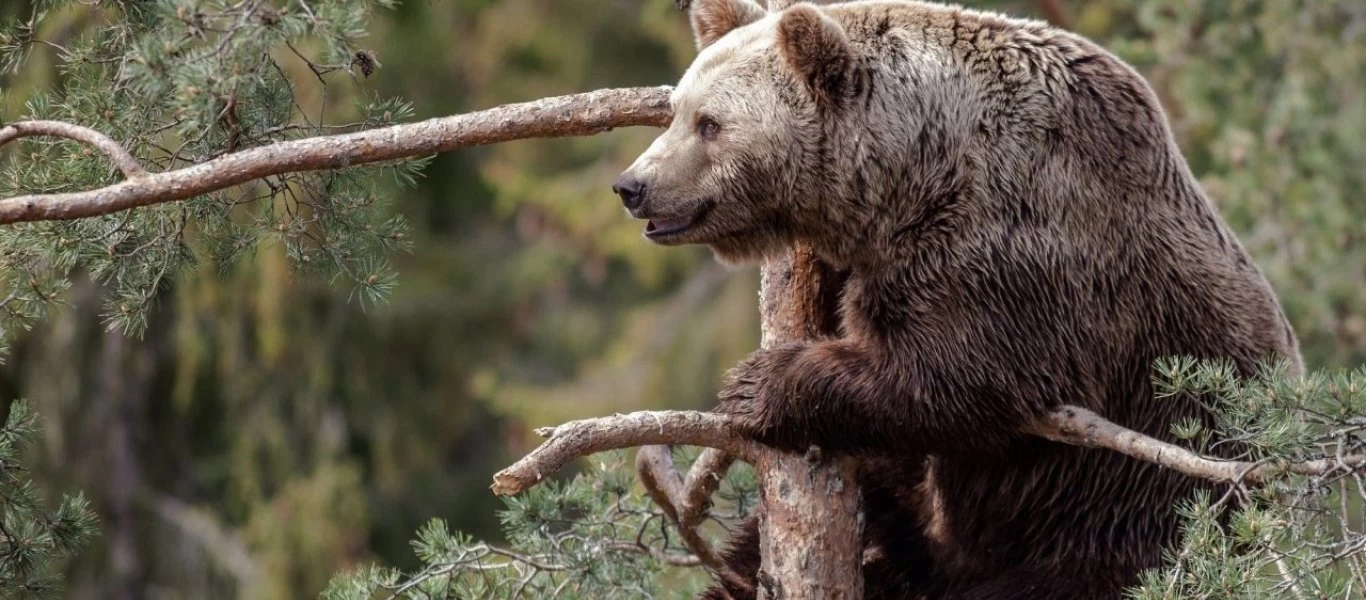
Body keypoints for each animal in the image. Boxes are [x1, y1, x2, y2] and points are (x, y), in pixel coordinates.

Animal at [614, 2, 1294, 598]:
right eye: (676, 111)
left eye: (710, 124)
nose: (633, 185)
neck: (912, 172)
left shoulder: (1009, 244)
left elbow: (960, 376)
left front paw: (758, 385)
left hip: (1135, 500)